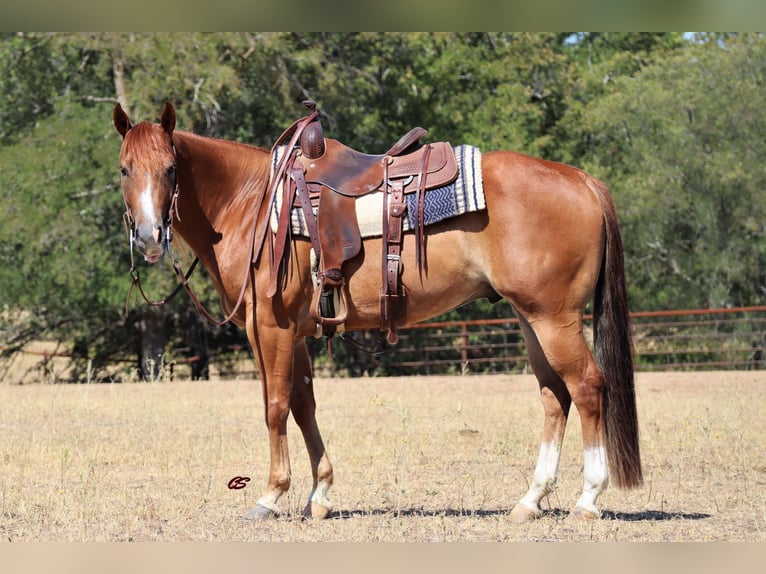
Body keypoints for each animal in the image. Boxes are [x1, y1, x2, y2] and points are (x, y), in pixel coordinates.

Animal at [112, 101, 640, 524]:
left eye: (171, 168)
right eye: (124, 169)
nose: (149, 236)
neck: (252, 204)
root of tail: (583, 180)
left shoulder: (270, 329)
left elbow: (275, 406)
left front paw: (271, 496)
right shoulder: (295, 333)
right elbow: (304, 405)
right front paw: (320, 494)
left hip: (554, 318)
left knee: (587, 387)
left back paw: (588, 499)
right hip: (530, 318)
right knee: (555, 396)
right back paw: (530, 501)